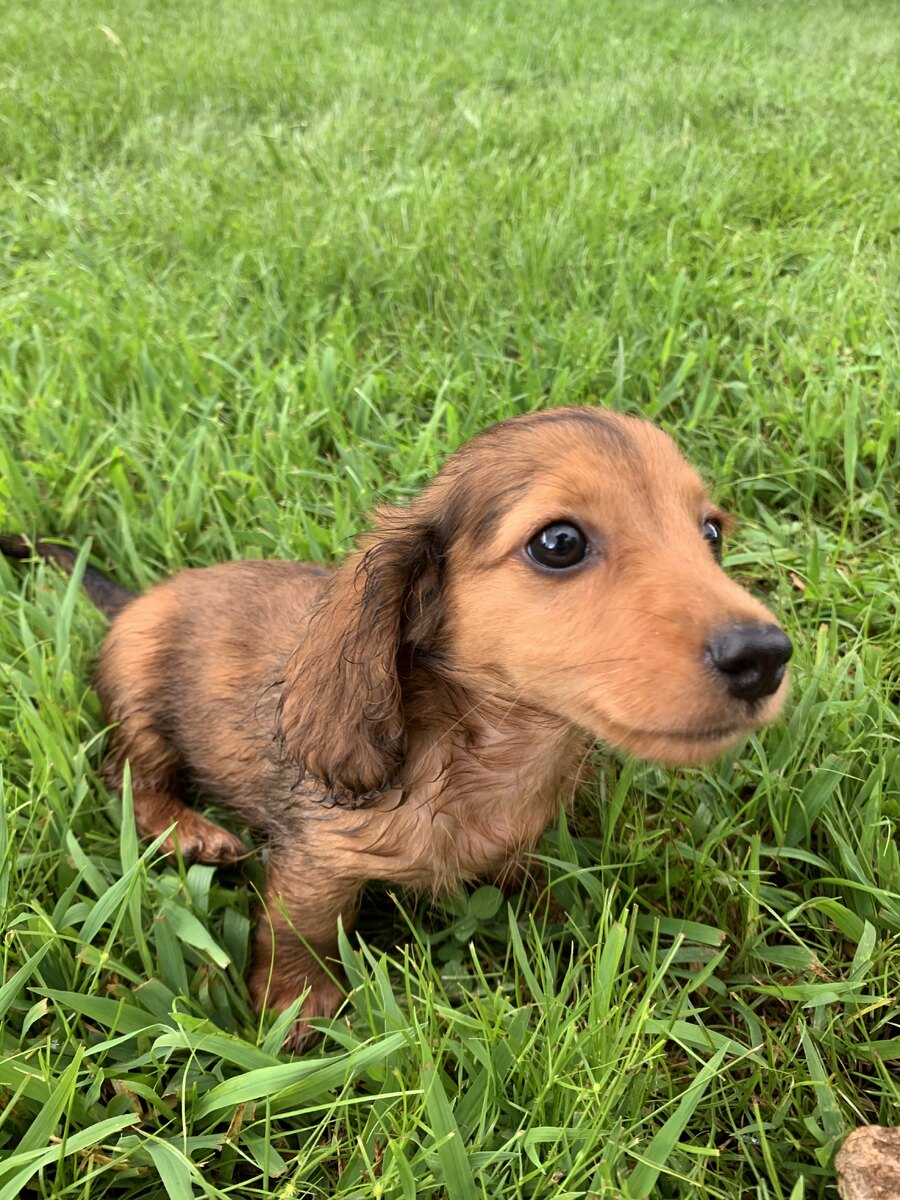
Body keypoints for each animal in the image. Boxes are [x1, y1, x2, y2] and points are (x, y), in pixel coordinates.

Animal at [1, 406, 792, 1049]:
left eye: (711, 533)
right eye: (559, 542)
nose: (765, 656)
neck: (490, 751)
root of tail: (136, 599)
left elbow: (536, 882)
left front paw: (573, 924)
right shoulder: (316, 858)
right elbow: (302, 928)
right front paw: (298, 1004)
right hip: (140, 697)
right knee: (128, 777)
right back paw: (191, 830)